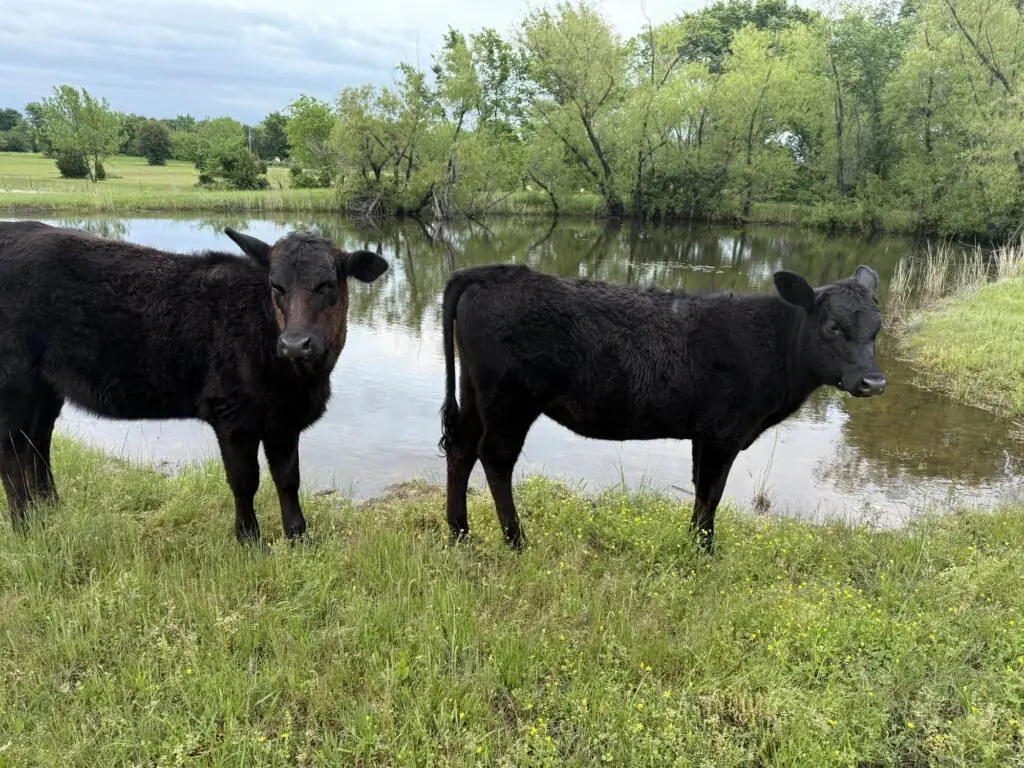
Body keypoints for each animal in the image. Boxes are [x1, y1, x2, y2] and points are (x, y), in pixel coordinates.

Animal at [0, 221, 388, 543]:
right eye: (275, 286)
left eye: (327, 284)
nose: (294, 343)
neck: (299, 382)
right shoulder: (231, 414)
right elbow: (244, 481)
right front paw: (248, 539)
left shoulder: (283, 420)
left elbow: (288, 479)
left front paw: (299, 537)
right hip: (15, 383)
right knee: (13, 449)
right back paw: (26, 526)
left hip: (46, 388)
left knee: (38, 440)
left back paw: (49, 509)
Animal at [438, 263, 886, 553]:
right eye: (833, 327)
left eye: (877, 328)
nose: (874, 382)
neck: (772, 340)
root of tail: (490, 271)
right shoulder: (724, 432)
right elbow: (711, 492)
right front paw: (704, 552)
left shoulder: (705, 434)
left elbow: (702, 491)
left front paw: (694, 545)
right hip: (510, 400)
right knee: (495, 458)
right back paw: (516, 541)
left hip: (476, 393)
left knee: (461, 450)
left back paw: (459, 533)